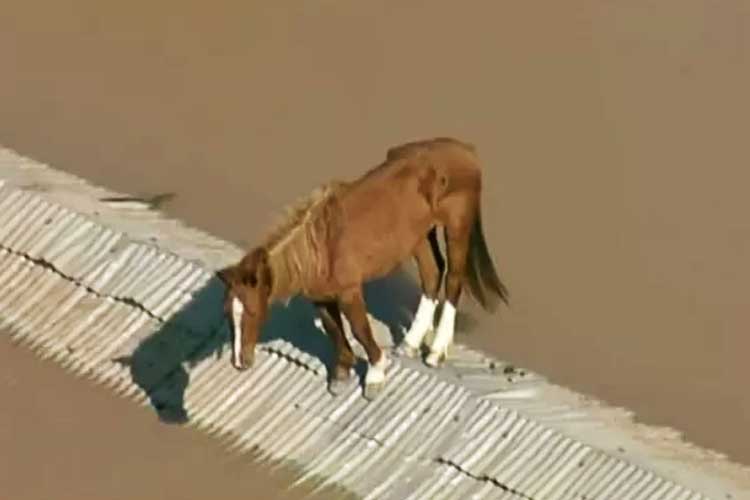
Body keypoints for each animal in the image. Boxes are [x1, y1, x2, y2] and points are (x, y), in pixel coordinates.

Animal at [217, 137, 509, 401]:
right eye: (227, 313)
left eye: (252, 312)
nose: (239, 362)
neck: (320, 248)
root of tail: (466, 150)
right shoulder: (321, 298)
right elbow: (334, 331)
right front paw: (341, 374)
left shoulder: (349, 292)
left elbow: (360, 330)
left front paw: (375, 377)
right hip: (419, 236)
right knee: (432, 274)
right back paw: (410, 344)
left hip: (457, 227)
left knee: (453, 280)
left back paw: (436, 352)